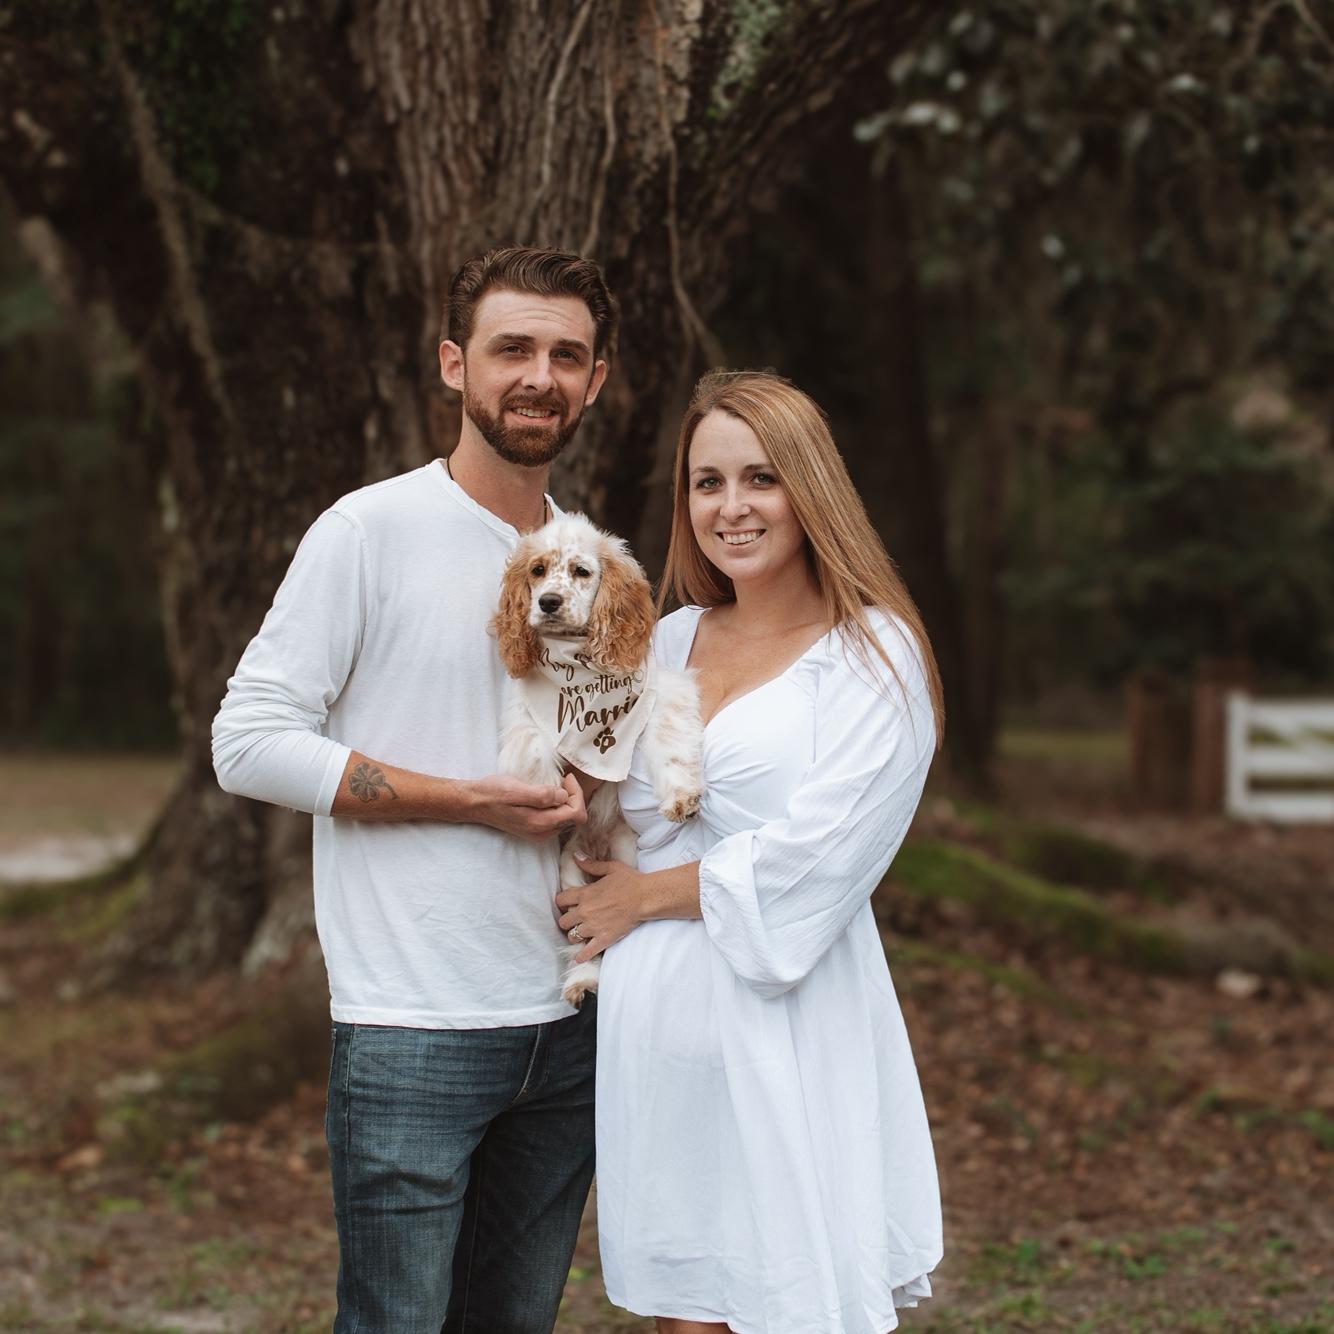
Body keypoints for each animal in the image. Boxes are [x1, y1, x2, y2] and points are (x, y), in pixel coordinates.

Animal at [491, 513, 703, 1004]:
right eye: (537, 570)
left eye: (581, 572)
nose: (548, 602)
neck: (577, 667)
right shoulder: (524, 718)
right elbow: (537, 754)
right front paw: (550, 801)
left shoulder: (660, 694)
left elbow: (669, 742)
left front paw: (681, 798)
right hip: (572, 874)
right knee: (587, 942)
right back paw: (583, 980)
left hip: (627, 862)